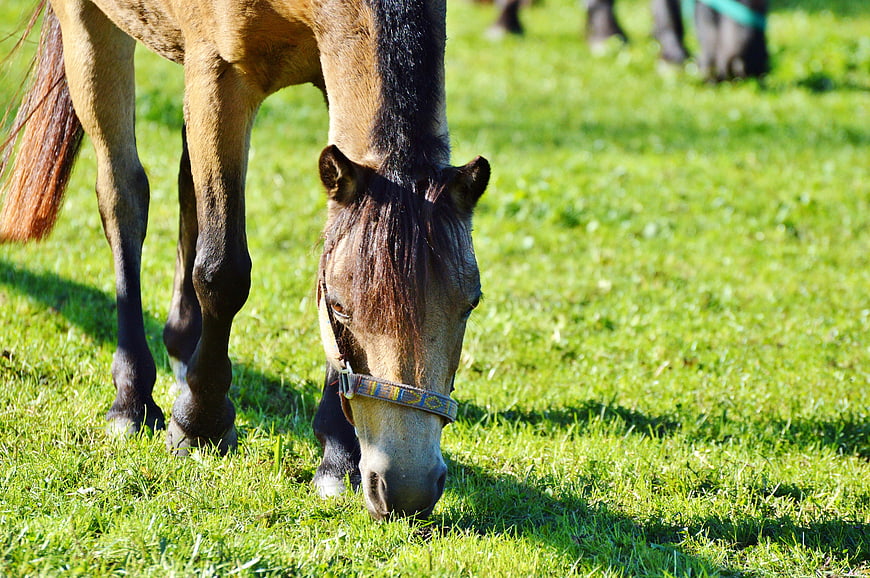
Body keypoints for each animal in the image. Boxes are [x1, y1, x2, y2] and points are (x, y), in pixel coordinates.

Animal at [0, 0, 490, 520]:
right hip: (91, 28)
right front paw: (200, 425)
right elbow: (222, 272)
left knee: (186, 188)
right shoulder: (220, 74)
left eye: (471, 304)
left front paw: (338, 457)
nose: (406, 489)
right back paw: (132, 400)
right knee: (123, 197)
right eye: (340, 308)